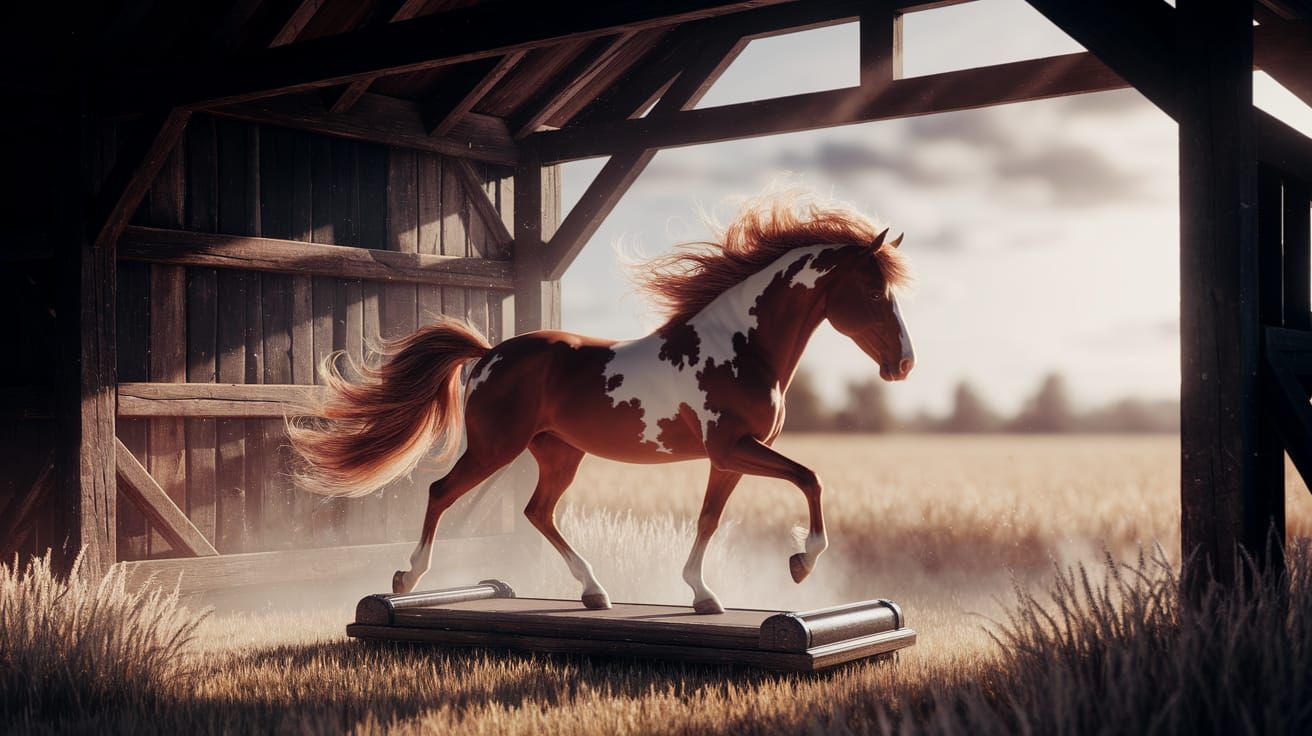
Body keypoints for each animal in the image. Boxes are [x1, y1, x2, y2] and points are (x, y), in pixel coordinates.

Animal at [287, 193, 914, 614]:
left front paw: (704, 595)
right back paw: (406, 580)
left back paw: (595, 591)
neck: (741, 345)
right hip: (496, 447)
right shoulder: (734, 448)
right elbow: (810, 478)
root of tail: (489, 354)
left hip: (560, 454)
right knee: (442, 492)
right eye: (873, 291)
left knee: (538, 511)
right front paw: (802, 563)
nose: (904, 364)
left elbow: (710, 518)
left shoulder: (730, 457)